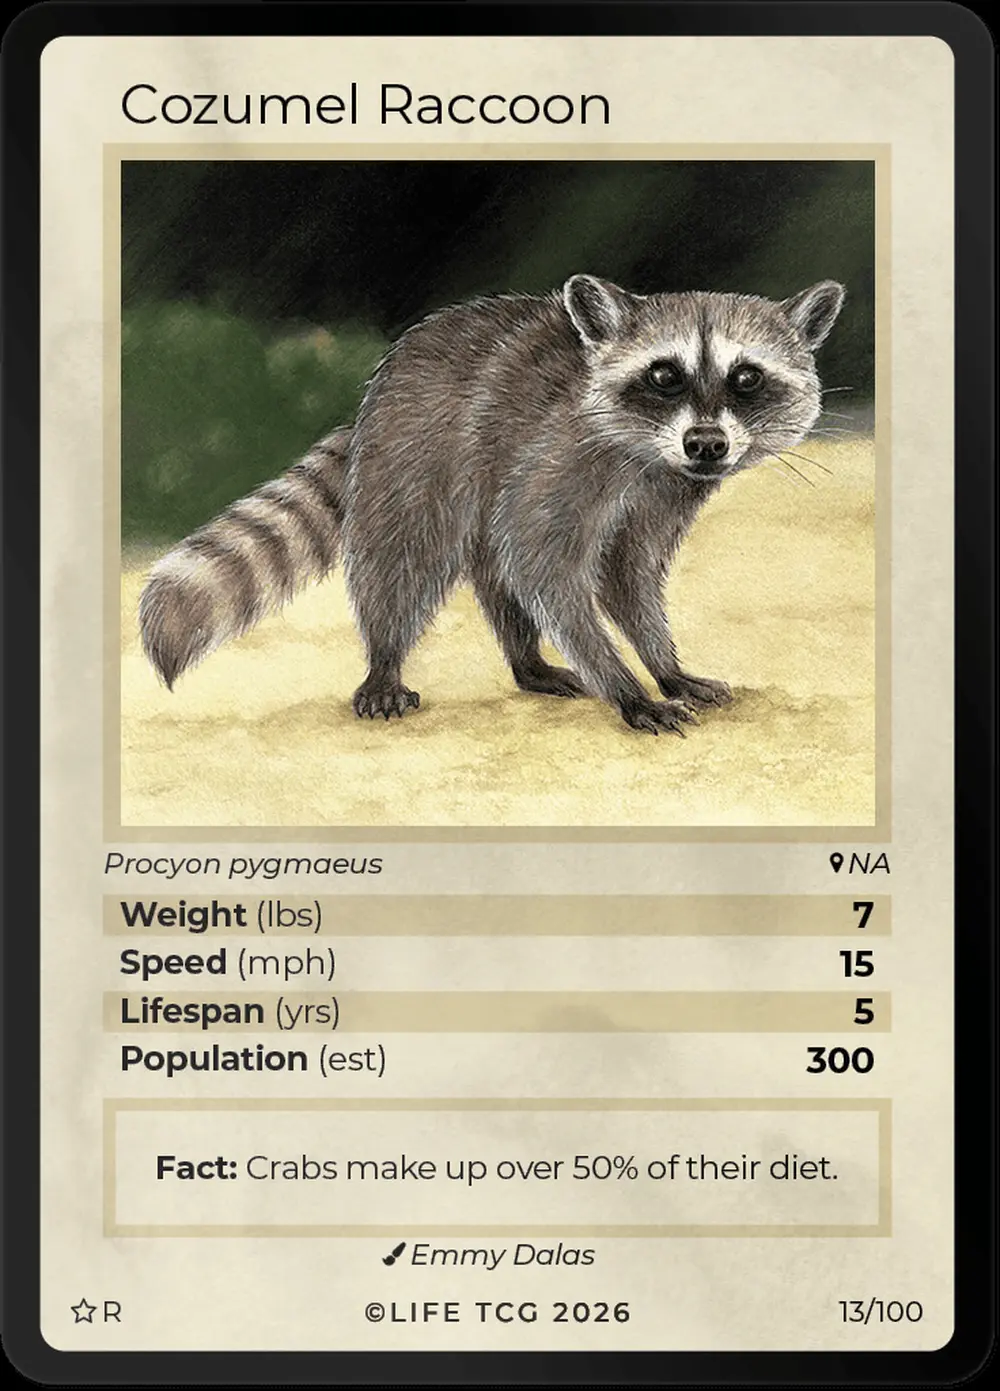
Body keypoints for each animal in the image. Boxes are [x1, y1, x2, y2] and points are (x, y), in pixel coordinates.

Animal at [139, 275, 844, 734]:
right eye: (664, 375)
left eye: (746, 377)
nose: (706, 444)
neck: (648, 454)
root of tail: (388, 373)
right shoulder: (561, 456)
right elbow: (545, 566)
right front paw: (624, 686)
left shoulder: (664, 491)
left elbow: (627, 576)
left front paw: (664, 665)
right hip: (418, 450)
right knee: (405, 558)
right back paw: (385, 658)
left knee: (493, 565)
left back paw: (526, 662)